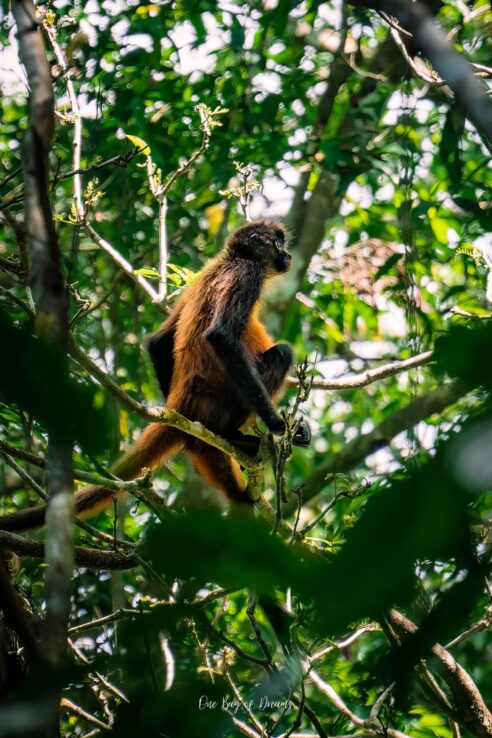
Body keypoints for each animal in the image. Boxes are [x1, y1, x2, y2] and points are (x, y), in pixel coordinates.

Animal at [0, 218, 312, 528]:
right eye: (278, 244)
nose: (288, 255)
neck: (233, 258)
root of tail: (182, 403)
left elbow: (158, 341)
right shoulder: (247, 274)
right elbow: (221, 337)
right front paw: (276, 424)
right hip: (219, 402)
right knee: (281, 354)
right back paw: (232, 435)